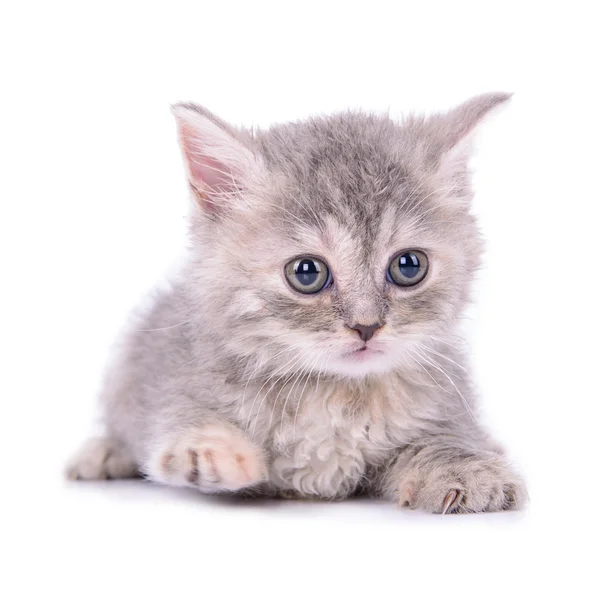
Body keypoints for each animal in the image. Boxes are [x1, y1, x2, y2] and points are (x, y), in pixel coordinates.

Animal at [69, 95, 524, 516]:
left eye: (409, 266)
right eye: (307, 273)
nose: (366, 325)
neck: (333, 394)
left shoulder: (447, 402)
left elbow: (444, 439)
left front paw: (465, 468)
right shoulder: (175, 381)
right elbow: (184, 420)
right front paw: (211, 451)